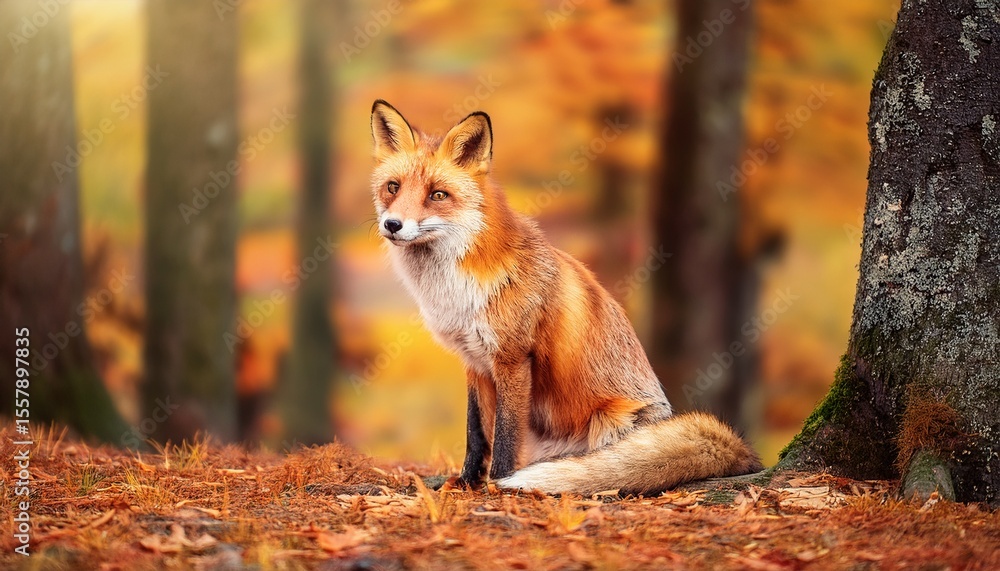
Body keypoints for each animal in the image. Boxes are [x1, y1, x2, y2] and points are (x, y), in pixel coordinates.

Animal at [369, 100, 763, 495]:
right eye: (393, 187)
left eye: (437, 195)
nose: (393, 224)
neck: (452, 290)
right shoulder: (474, 362)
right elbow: (475, 434)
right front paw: (465, 484)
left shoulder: (512, 359)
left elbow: (505, 437)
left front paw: (498, 484)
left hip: (612, 419)